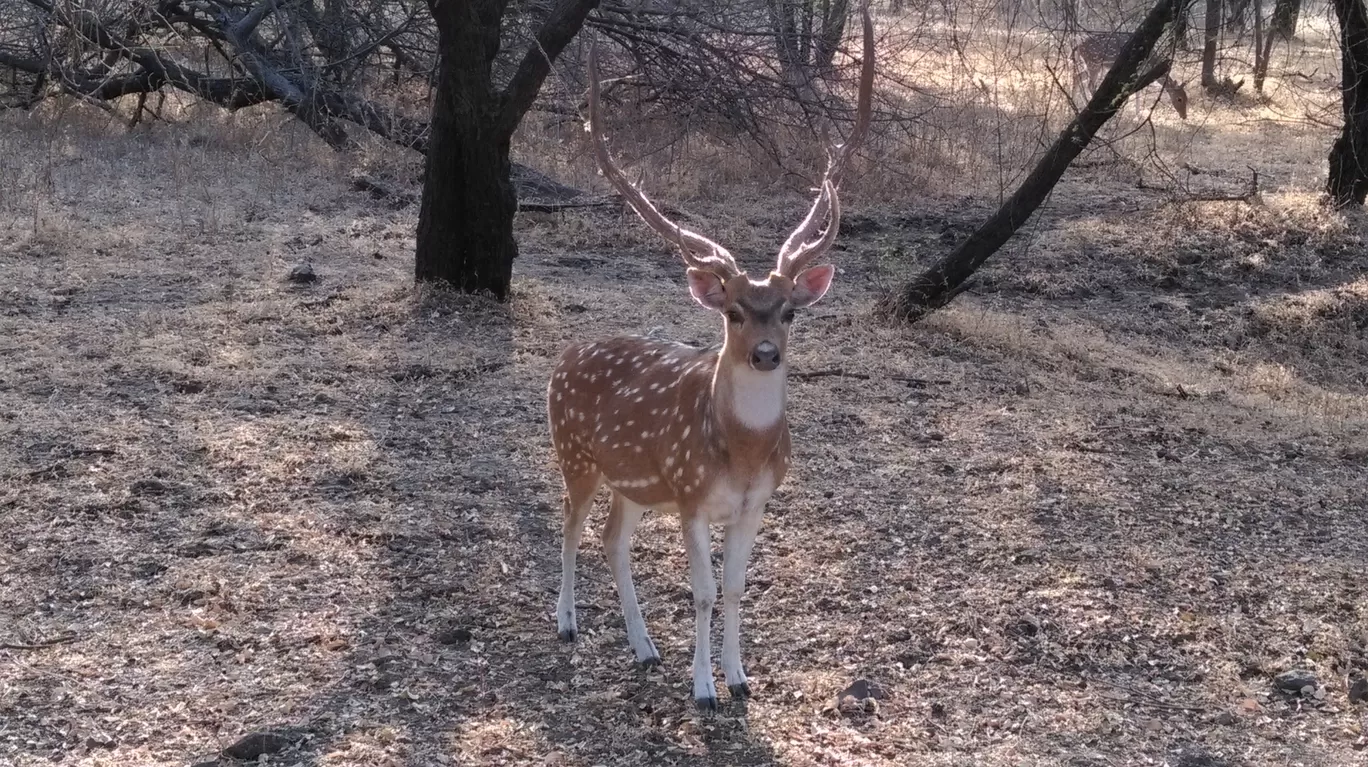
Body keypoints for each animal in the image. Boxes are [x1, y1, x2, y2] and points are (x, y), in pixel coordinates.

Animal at [547, 4, 875, 710]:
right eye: (733, 312)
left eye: (788, 310)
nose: (765, 354)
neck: (742, 454)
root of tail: (565, 354)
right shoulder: (691, 494)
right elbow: (699, 593)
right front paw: (702, 689)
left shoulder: (753, 504)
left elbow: (733, 588)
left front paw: (739, 677)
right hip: (576, 454)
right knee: (570, 524)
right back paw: (566, 623)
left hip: (636, 483)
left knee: (613, 539)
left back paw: (644, 647)